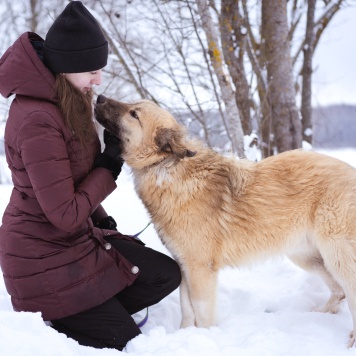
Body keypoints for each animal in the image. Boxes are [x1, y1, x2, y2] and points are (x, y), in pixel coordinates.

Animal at [94, 95, 356, 348]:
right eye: (131, 105)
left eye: (134, 114)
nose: (99, 97)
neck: (167, 167)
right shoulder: (185, 266)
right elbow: (187, 309)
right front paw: (185, 335)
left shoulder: (201, 270)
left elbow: (201, 312)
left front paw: (205, 337)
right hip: (307, 256)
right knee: (339, 291)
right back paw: (320, 314)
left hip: (337, 257)